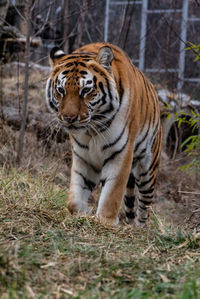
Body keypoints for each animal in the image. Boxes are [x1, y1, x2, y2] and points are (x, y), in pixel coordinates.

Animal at [45, 41, 162, 226]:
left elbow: (111, 195)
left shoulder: (121, 154)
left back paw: (140, 228)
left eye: (86, 90)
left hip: (148, 169)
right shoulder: (84, 156)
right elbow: (74, 199)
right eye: (61, 91)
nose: (69, 118)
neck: (92, 130)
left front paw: (105, 222)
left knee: (145, 207)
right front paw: (84, 213)